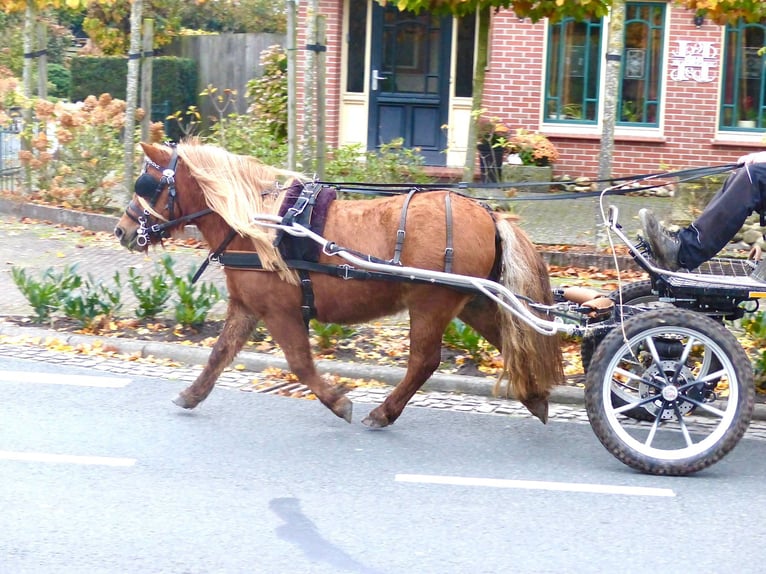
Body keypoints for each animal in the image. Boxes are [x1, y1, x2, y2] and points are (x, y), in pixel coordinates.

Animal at [114, 140, 564, 428]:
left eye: (146, 185)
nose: (122, 230)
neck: (259, 225)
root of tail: (488, 214)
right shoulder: (247, 307)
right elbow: (219, 353)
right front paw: (192, 394)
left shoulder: (279, 312)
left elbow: (300, 364)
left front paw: (339, 402)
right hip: (472, 301)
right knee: (510, 341)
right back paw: (535, 397)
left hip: (431, 304)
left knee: (424, 361)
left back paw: (383, 412)